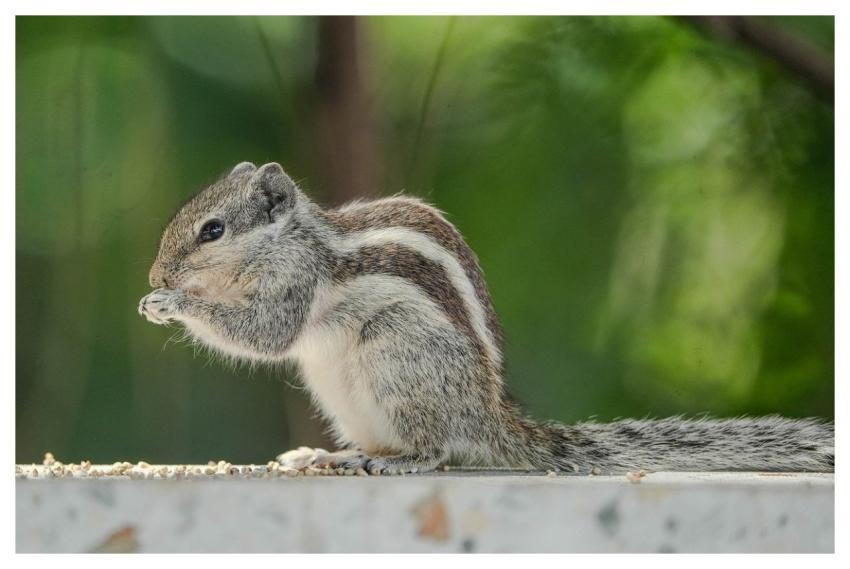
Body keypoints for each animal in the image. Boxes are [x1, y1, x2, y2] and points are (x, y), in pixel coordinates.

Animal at [139, 162, 834, 475]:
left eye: (212, 230)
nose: (154, 278)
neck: (289, 239)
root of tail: (490, 418)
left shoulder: (295, 283)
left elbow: (263, 334)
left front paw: (173, 306)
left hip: (399, 361)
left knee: (440, 449)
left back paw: (395, 461)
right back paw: (328, 456)